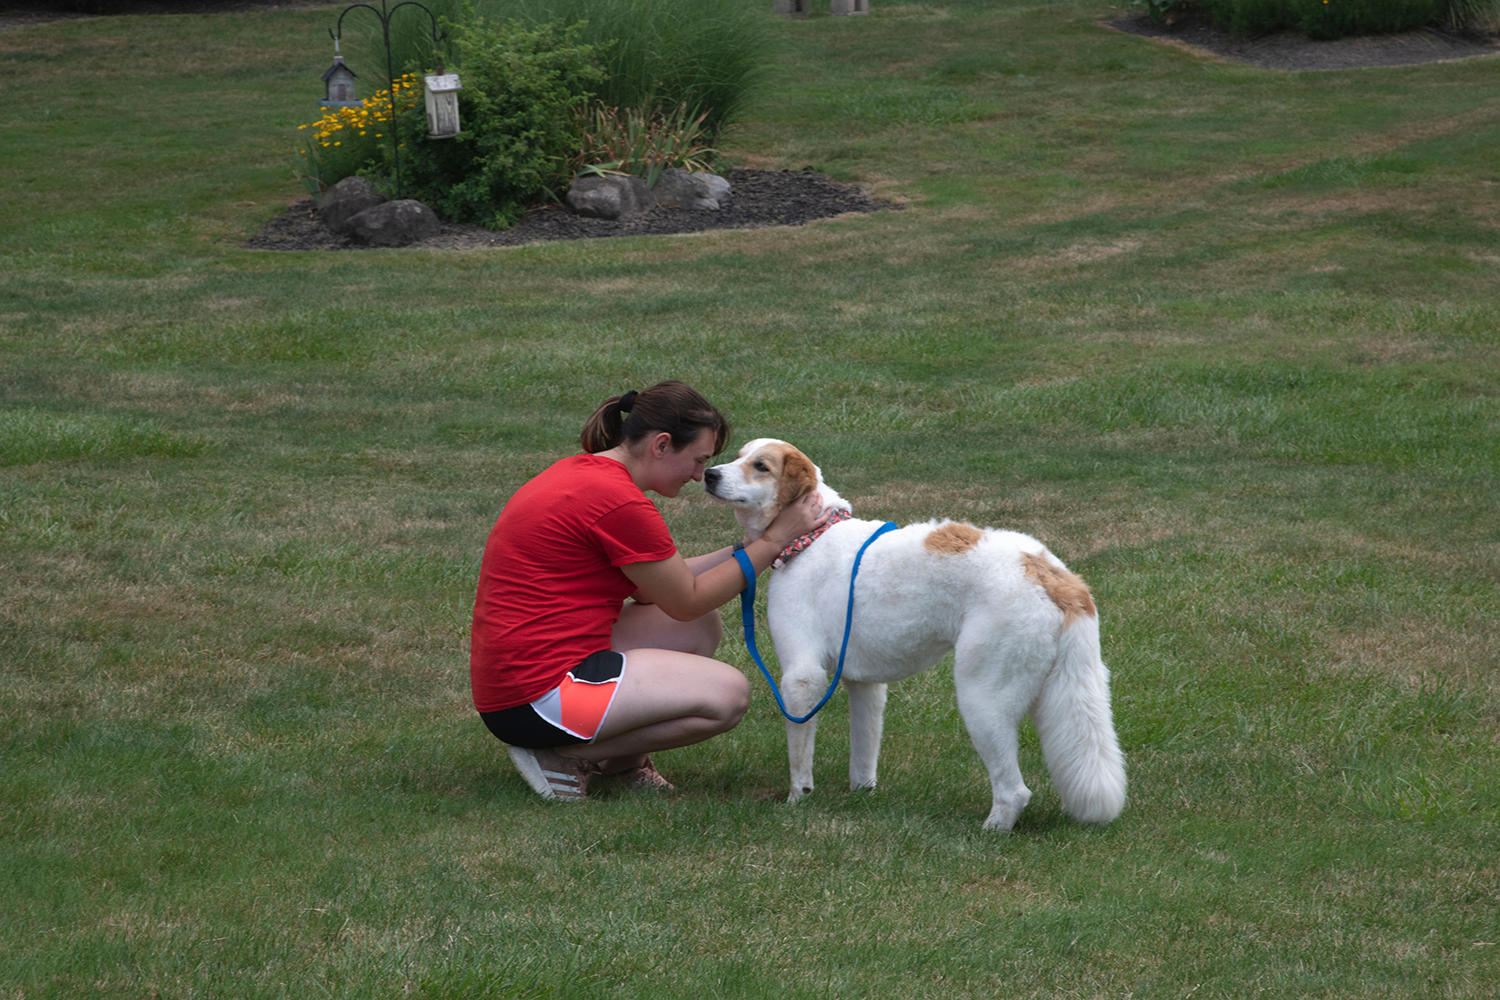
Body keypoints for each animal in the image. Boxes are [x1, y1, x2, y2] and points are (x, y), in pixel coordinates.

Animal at [702, 440, 1128, 833]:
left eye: (761, 466)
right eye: (738, 456)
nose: (710, 474)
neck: (813, 534)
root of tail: (1054, 576)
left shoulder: (801, 679)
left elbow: (799, 758)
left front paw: (797, 800)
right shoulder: (865, 685)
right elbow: (863, 754)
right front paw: (862, 795)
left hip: (981, 697)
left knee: (1014, 791)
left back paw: (990, 831)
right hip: (1061, 694)